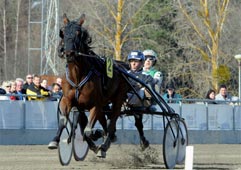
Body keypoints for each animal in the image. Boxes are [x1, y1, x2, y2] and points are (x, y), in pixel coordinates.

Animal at [47, 13, 130, 157]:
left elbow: (87, 131)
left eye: (78, 33)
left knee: (112, 121)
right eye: (63, 33)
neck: (77, 75)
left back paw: (105, 143)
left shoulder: (95, 105)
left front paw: (97, 141)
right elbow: (64, 121)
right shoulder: (68, 100)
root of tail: (121, 65)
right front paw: (55, 140)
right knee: (104, 122)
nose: (69, 53)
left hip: (118, 98)